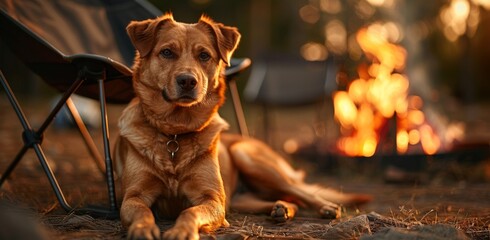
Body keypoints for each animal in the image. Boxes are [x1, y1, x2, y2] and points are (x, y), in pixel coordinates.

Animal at [116, 14, 372, 239]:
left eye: (204, 55)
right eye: (167, 52)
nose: (188, 81)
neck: (175, 134)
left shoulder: (213, 200)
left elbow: (189, 212)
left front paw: (182, 231)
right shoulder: (133, 196)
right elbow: (143, 212)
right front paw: (142, 229)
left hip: (252, 161)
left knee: (301, 192)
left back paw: (326, 207)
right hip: (242, 199)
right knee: (291, 200)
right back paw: (281, 209)